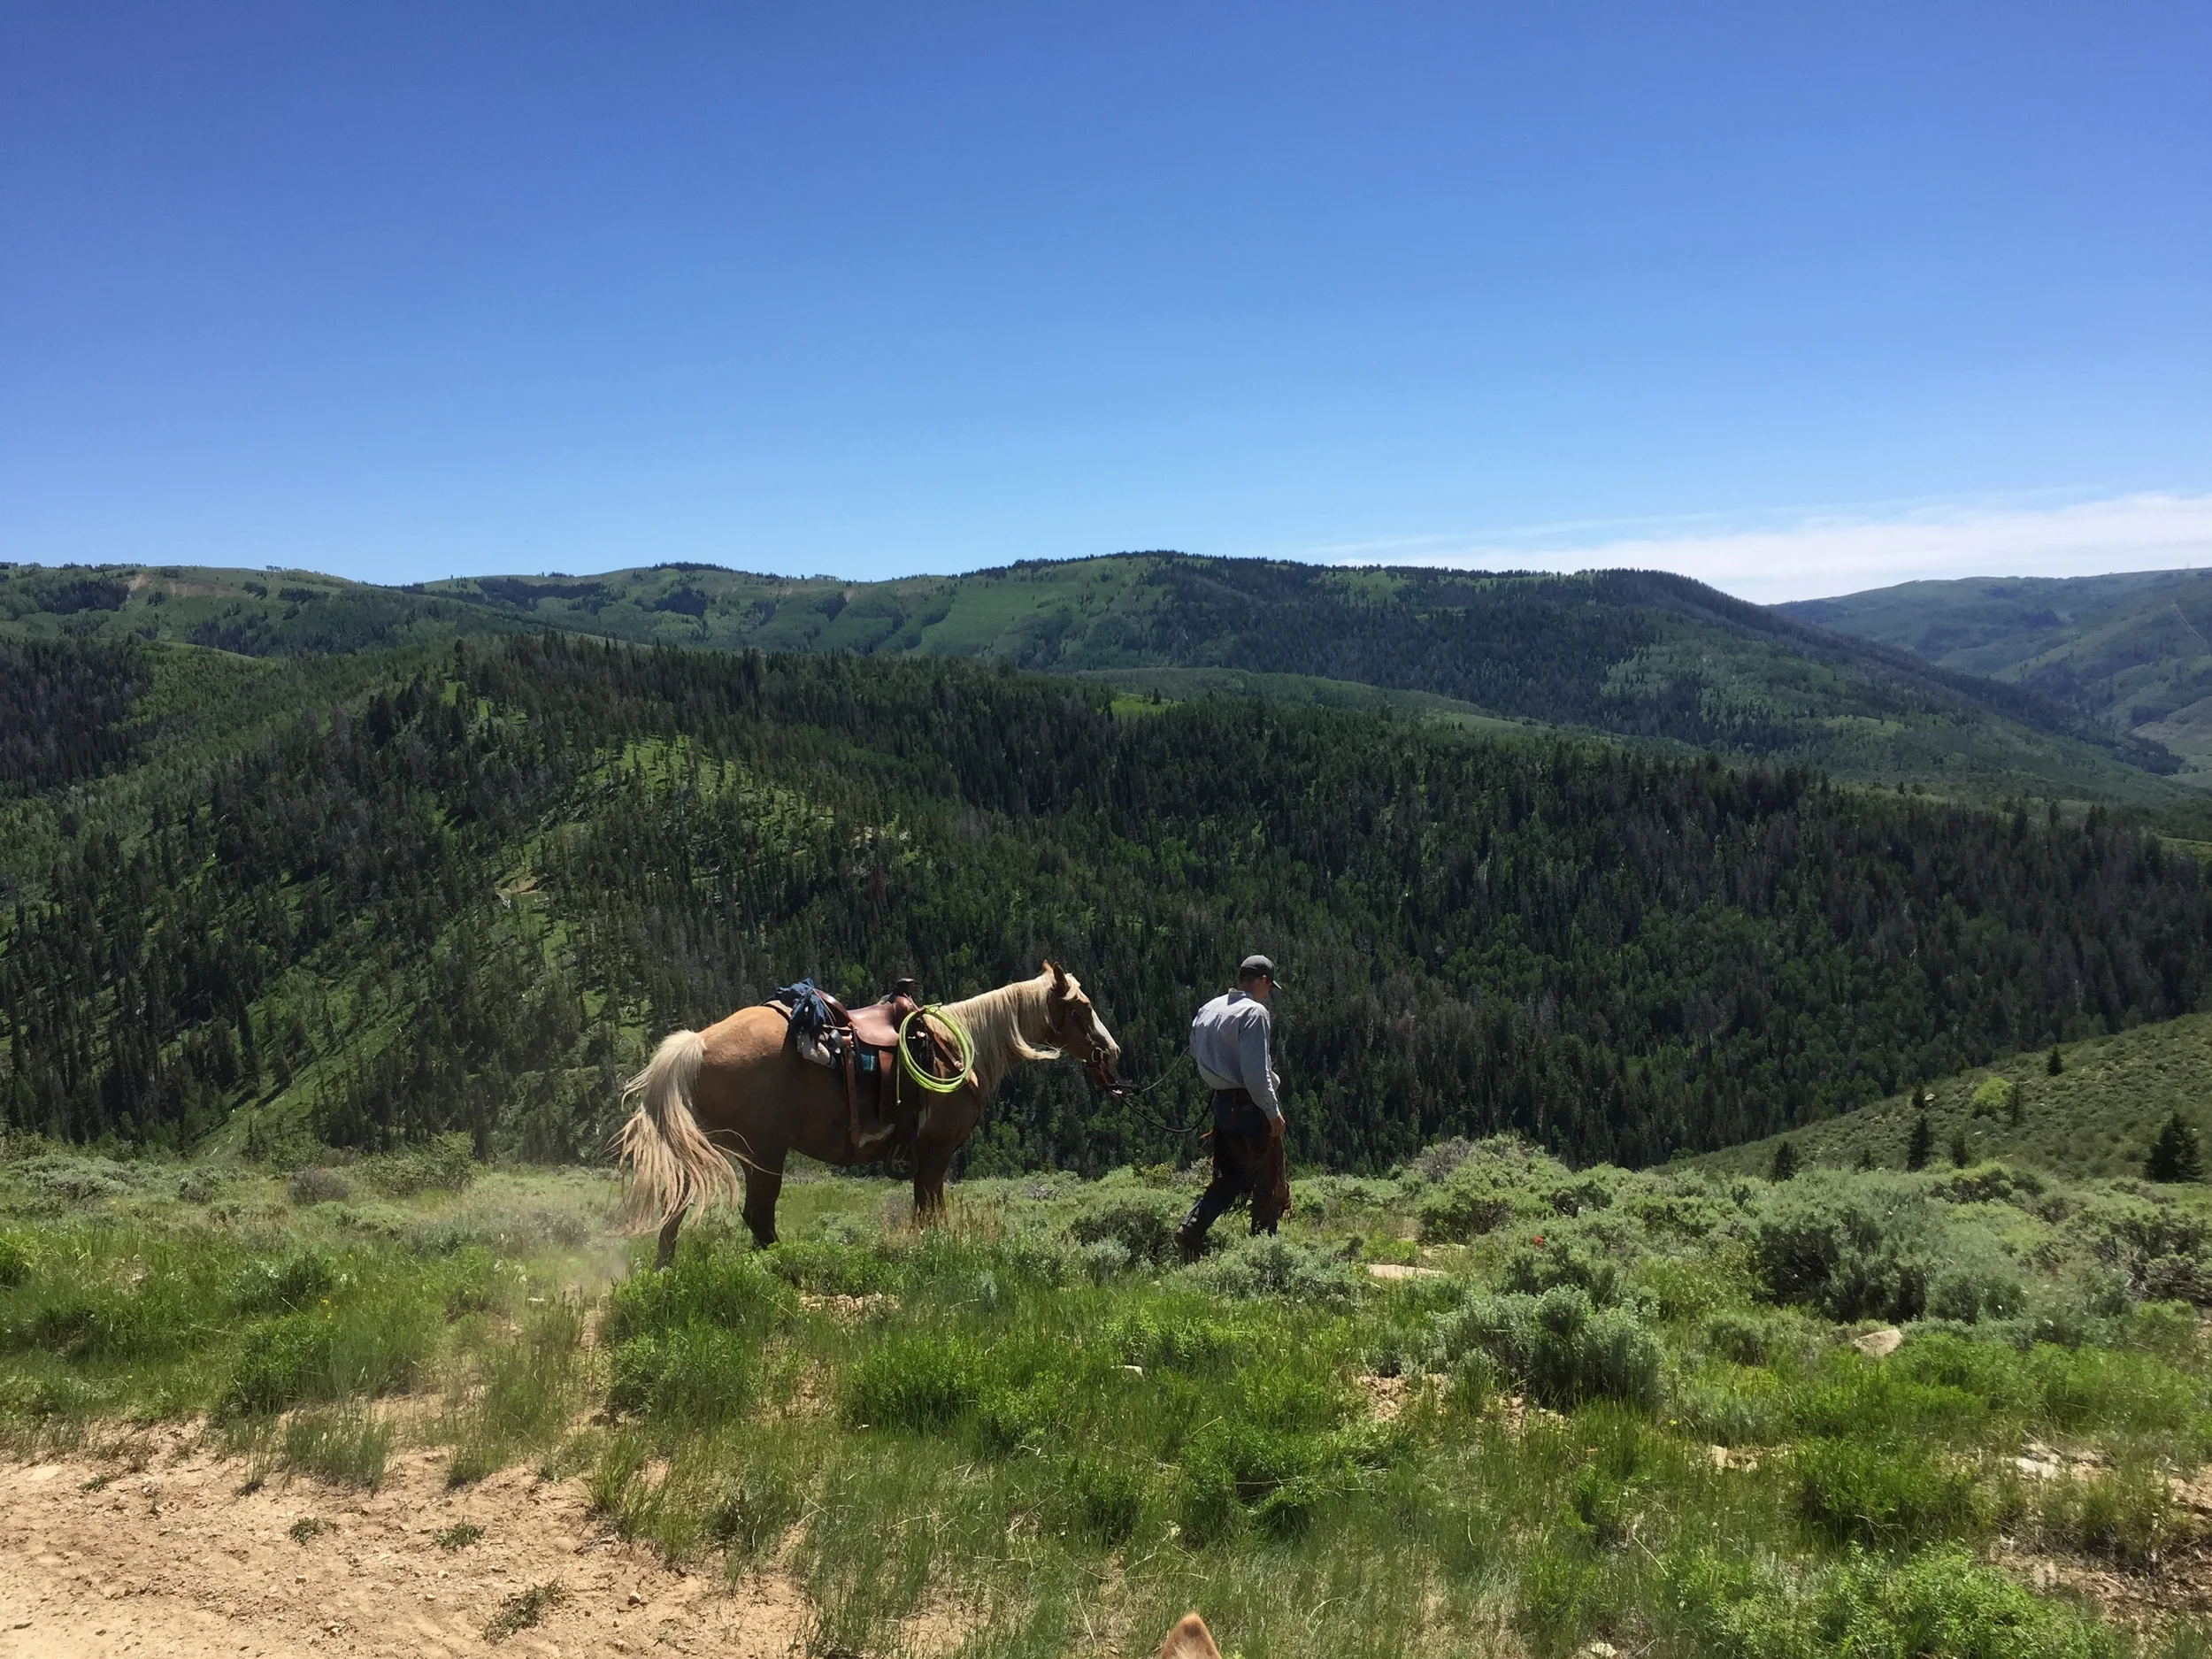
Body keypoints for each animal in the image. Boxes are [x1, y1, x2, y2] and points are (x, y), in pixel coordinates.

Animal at [617, 961, 1121, 1263]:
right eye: (1084, 1007)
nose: (1112, 1053)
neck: (960, 1045)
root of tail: (698, 1044)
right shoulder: (936, 1152)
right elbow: (931, 1211)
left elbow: (925, 1208)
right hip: (764, 1153)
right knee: (758, 1215)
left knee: (678, 1208)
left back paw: (666, 1269)